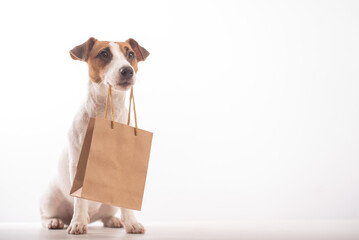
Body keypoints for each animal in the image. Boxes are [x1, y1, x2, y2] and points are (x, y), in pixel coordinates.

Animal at [39, 37, 150, 234]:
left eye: (130, 54)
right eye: (104, 54)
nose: (127, 70)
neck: (108, 111)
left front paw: (131, 222)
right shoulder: (78, 165)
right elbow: (80, 201)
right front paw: (78, 223)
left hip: (109, 204)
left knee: (106, 215)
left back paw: (114, 220)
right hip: (50, 198)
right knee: (45, 216)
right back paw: (55, 221)